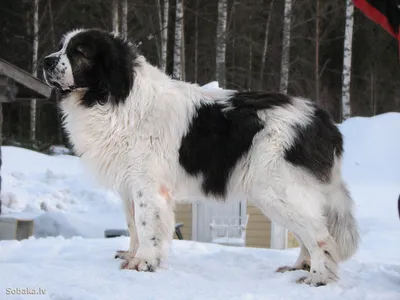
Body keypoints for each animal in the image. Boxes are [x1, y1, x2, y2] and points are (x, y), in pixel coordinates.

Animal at [43, 28, 360, 286]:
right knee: (309, 232)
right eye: (61, 47)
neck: (113, 96)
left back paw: (317, 277)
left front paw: (144, 263)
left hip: (279, 191)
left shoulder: (147, 185)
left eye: (79, 51)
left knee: (320, 234)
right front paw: (132, 255)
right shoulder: (129, 185)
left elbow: (147, 225)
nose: (45, 61)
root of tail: (321, 119)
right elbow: (133, 224)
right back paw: (299, 267)